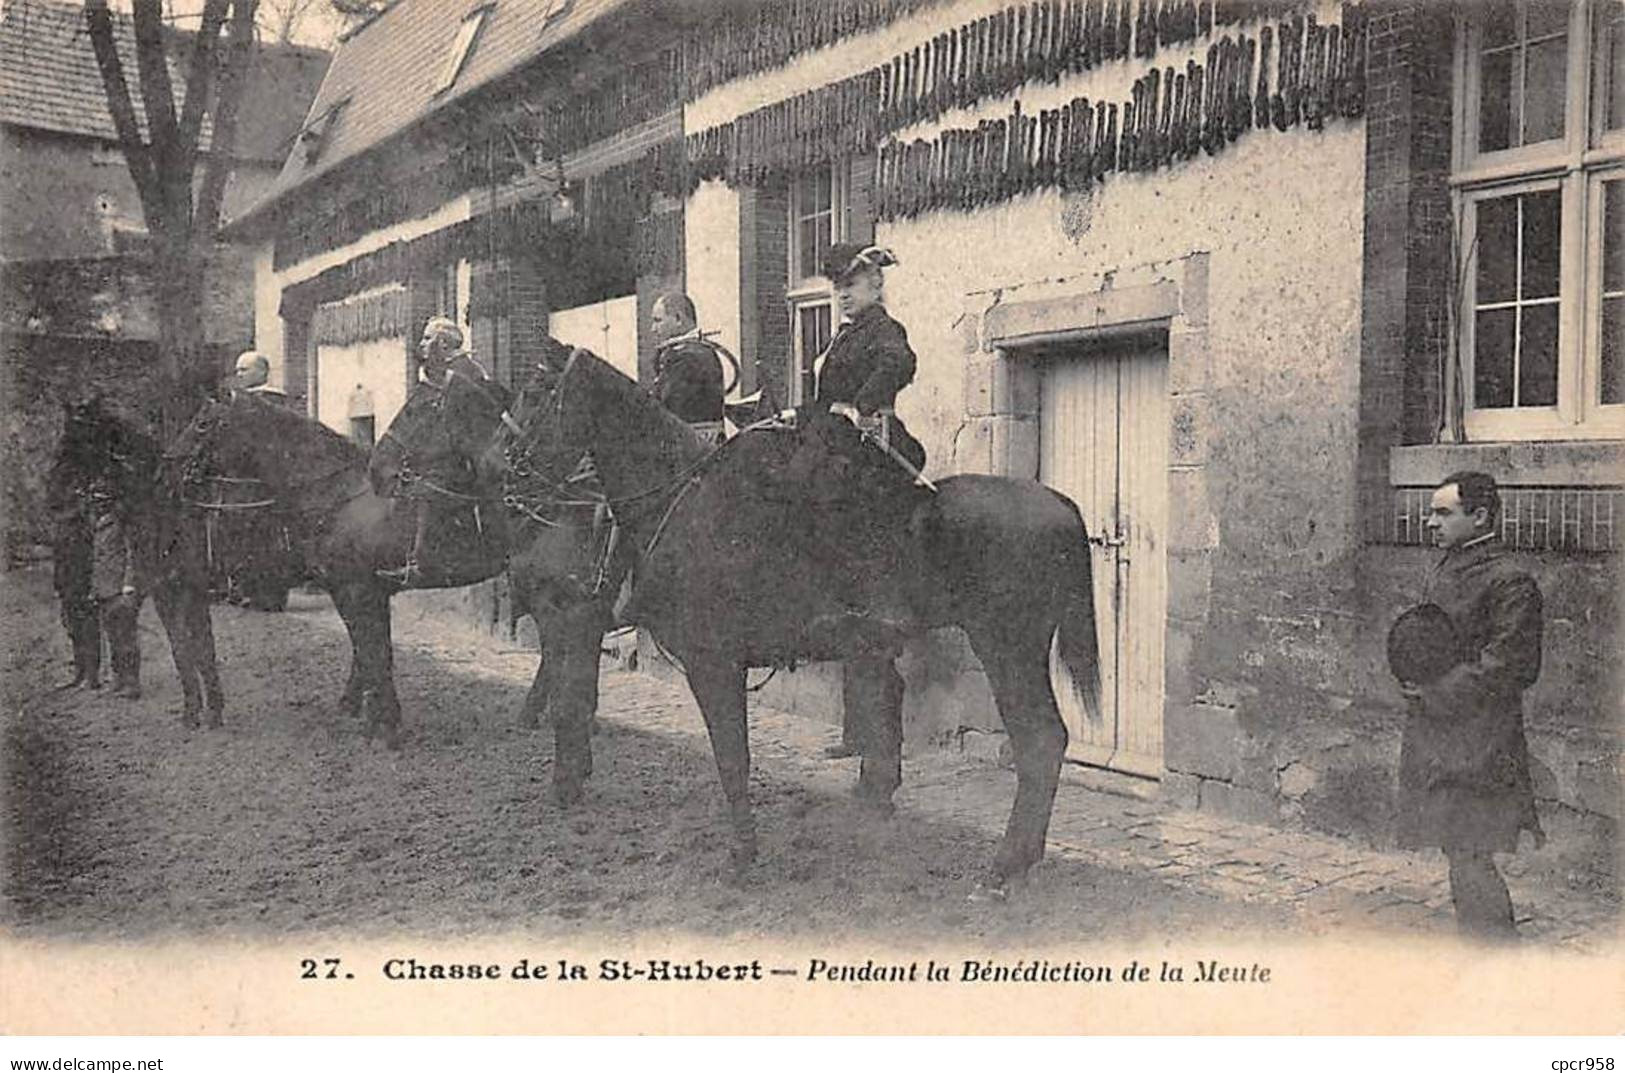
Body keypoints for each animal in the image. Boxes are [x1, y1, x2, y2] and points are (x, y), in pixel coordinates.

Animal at [54, 398, 222, 725]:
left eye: (80, 432)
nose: (57, 482)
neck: (165, 510)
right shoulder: (182, 592)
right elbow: (196, 649)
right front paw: (210, 712)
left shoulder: (173, 592)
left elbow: (187, 647)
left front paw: (194, 712)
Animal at [166, 364, 614, 767]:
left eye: (203, 423)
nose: (170, 460)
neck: (340, 496)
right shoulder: (365, 593)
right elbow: (373, 653)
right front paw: (375, 720)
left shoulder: (356, 592)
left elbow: (374, 654)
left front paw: (386, 727)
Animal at [487, 347, 1105, 890]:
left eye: (537, 392)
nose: (502, 469)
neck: (684, 503)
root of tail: (1059, 504)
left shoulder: (710, 663)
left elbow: (731, 757)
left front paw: (742, 855)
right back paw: (1019, 857)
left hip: (1008, 647)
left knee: (1040, 742)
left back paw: (1004, 867)